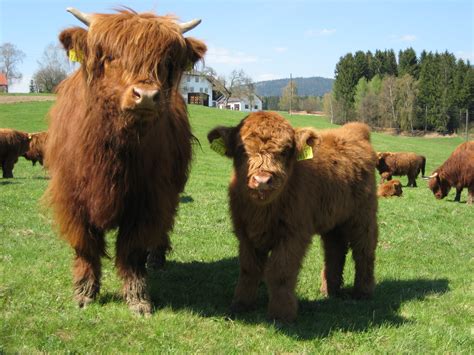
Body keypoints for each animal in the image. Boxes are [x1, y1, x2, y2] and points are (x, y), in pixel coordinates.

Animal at [44, 7, 206, 318]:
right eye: (111, 56)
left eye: (166, 62)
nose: (147, 96)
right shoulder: (72, 198)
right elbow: (86, 246)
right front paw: (84, 293)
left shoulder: (148, 199)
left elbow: (132, 251)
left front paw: (138, 299)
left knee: (163, 226)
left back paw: (156, 260)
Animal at [207, 112, 378, 324]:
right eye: (241, 149)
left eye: (285, 151)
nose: (262, 180)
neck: (262, 212)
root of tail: (355, 130)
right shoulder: (245, 233)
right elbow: (249, 268)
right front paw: (241, 304)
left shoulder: (294, 234)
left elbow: (280, 272)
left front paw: (282, 314)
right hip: (334, 220)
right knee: (335, 251)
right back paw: (329, 291)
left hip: (363, 216)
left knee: (364, 251)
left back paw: (363, 292)